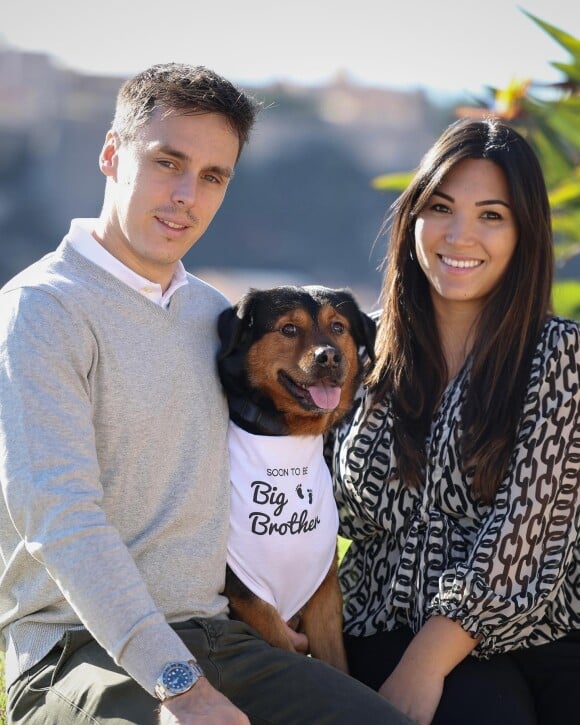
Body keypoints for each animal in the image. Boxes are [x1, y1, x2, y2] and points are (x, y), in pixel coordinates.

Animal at [216, 286, 376, 672]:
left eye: (338, 327)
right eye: (288, 329)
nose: (329, 356)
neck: (287, 435)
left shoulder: (324, 594)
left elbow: (337, 665)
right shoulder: (251, 601)